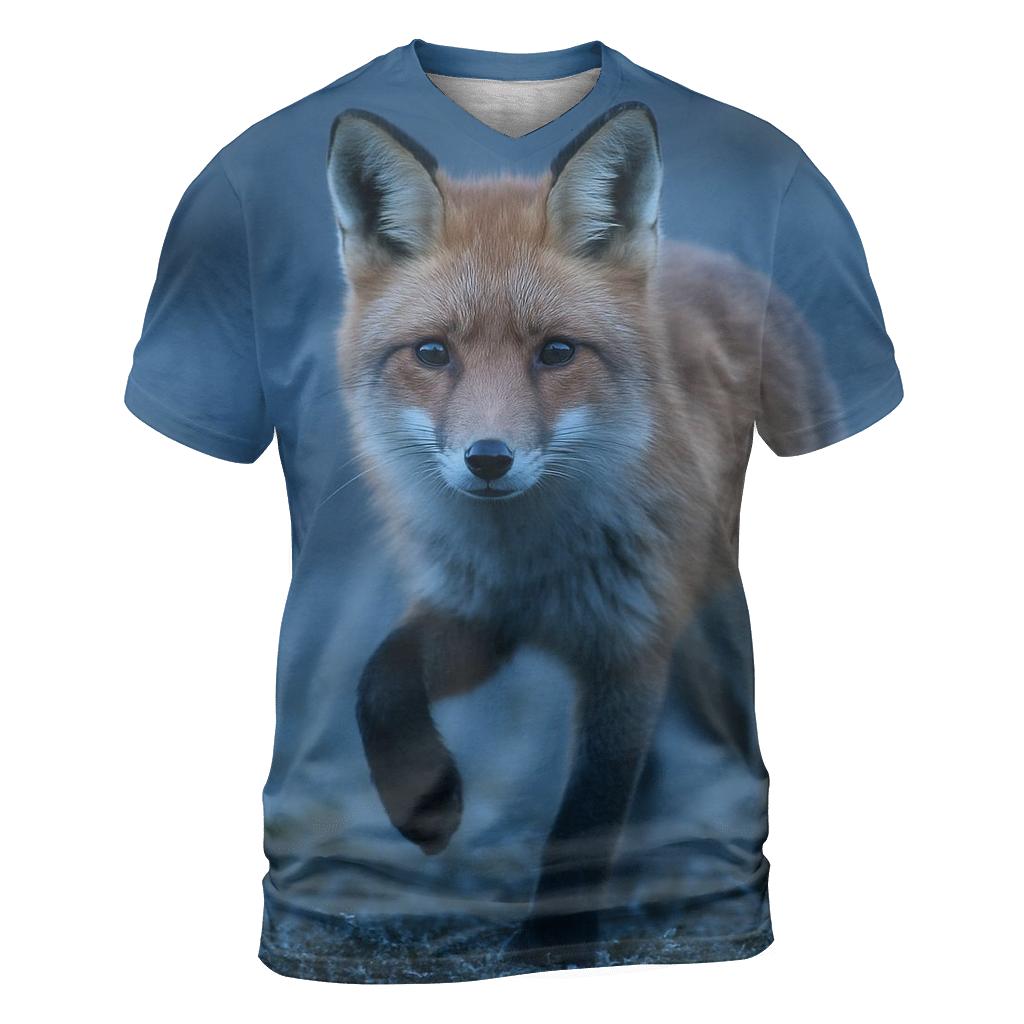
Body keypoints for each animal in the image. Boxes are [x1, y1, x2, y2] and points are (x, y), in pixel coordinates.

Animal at [326, 101, 835, 958]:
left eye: (556, 352)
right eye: (432, 353)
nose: (488, 459)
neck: (535, 561)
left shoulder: (629, 646)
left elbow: (588, 816)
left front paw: (551, 942)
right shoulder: (477, 619)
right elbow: (379, 682)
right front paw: (422, 803)